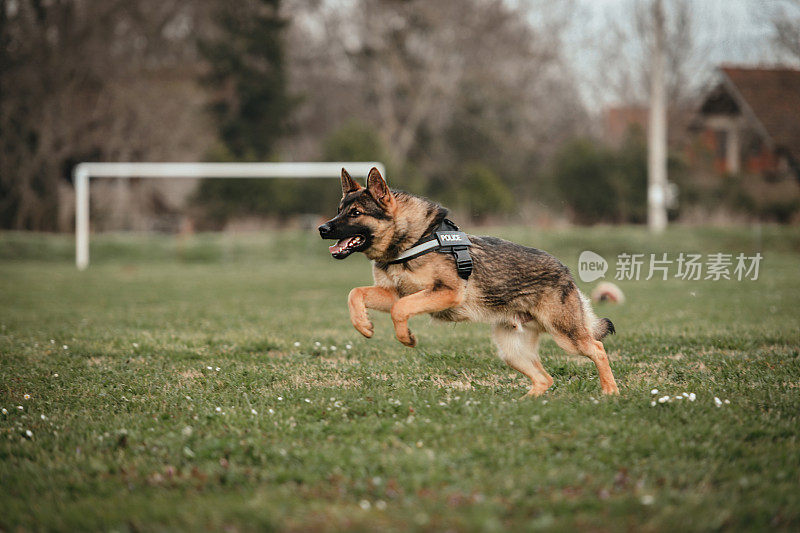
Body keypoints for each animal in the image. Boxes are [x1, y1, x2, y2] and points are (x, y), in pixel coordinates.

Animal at [318, 166, 620, 394]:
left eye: (355, 213)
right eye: (339, 209)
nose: (322, 228)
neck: (413, 239)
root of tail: (565, 271)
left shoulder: (446, 292)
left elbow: (399, 310)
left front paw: (407, 338)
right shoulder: (395, 293)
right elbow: (355, 293)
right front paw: (363, 325)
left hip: (565, 335)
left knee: (598, 349)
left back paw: (610, 392)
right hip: (512, 351)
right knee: (545, 379)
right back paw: (523, 404)